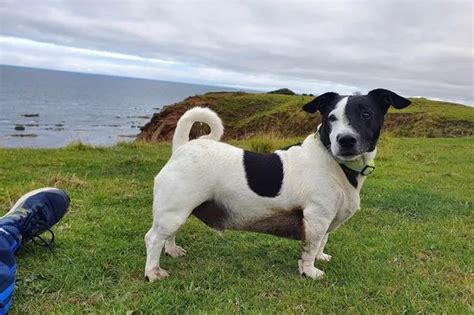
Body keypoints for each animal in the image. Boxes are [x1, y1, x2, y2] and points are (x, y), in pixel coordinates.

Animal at [144, 88, 412, 282]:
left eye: (366, 114)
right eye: (331, 118)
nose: (345, 140)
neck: (335, 162)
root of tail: (181, 147)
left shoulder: (326, 219)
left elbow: (322, 242)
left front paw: (321, 257)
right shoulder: (316, 218)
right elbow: (310, 248)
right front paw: (309, 271)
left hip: (180, 211)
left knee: (168, 236)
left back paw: (172, 251)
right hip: (174, 212)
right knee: (153, 239)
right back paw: (153, 272)